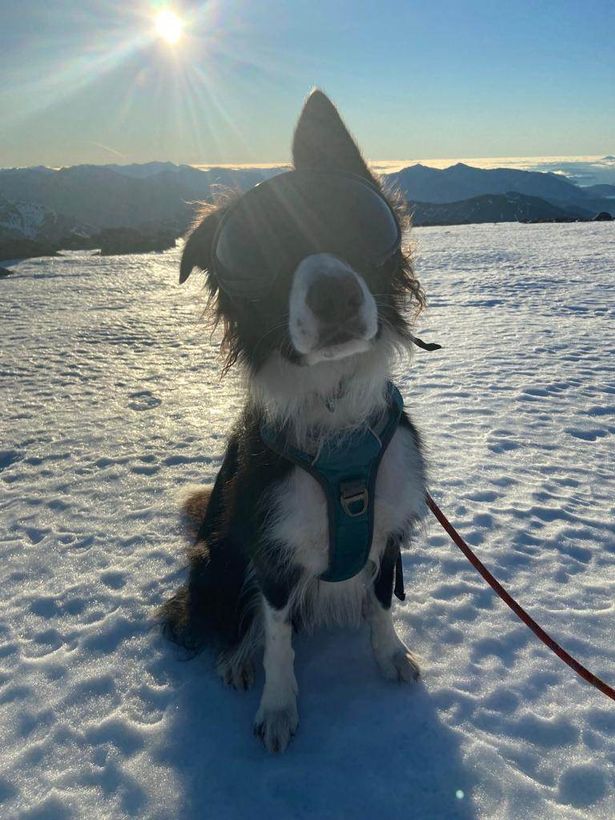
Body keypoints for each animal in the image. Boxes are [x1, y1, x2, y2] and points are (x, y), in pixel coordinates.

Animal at [162, 88, 428, 748]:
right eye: (257, 254)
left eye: (354, 224)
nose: (335, 295)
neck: (333, 409)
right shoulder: (271, 547)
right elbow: (278, 636)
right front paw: (278, 708)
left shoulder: (387, 530)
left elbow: (382, 604)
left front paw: (390, 655)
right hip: (217, 557)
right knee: (235, 620)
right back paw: (237, 659)